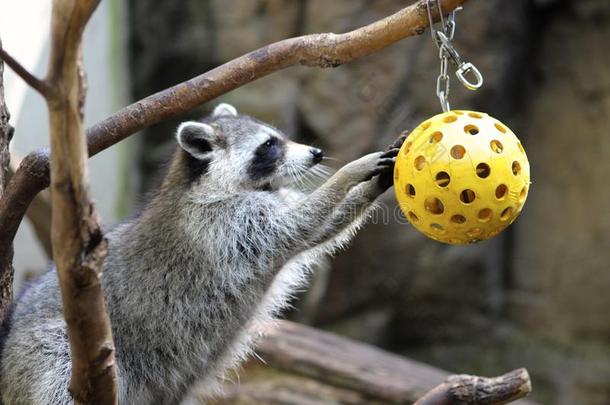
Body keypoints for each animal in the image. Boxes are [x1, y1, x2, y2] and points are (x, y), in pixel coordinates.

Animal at [1, 102, 404, 402]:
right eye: (269, 145)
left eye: (280, 138)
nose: (316, 153)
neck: (207, 183)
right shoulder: (224, 225)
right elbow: (304, 219)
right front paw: (351, 172)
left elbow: (320, 229)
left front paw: (371, 187)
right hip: (43, 353)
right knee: (57, 361)